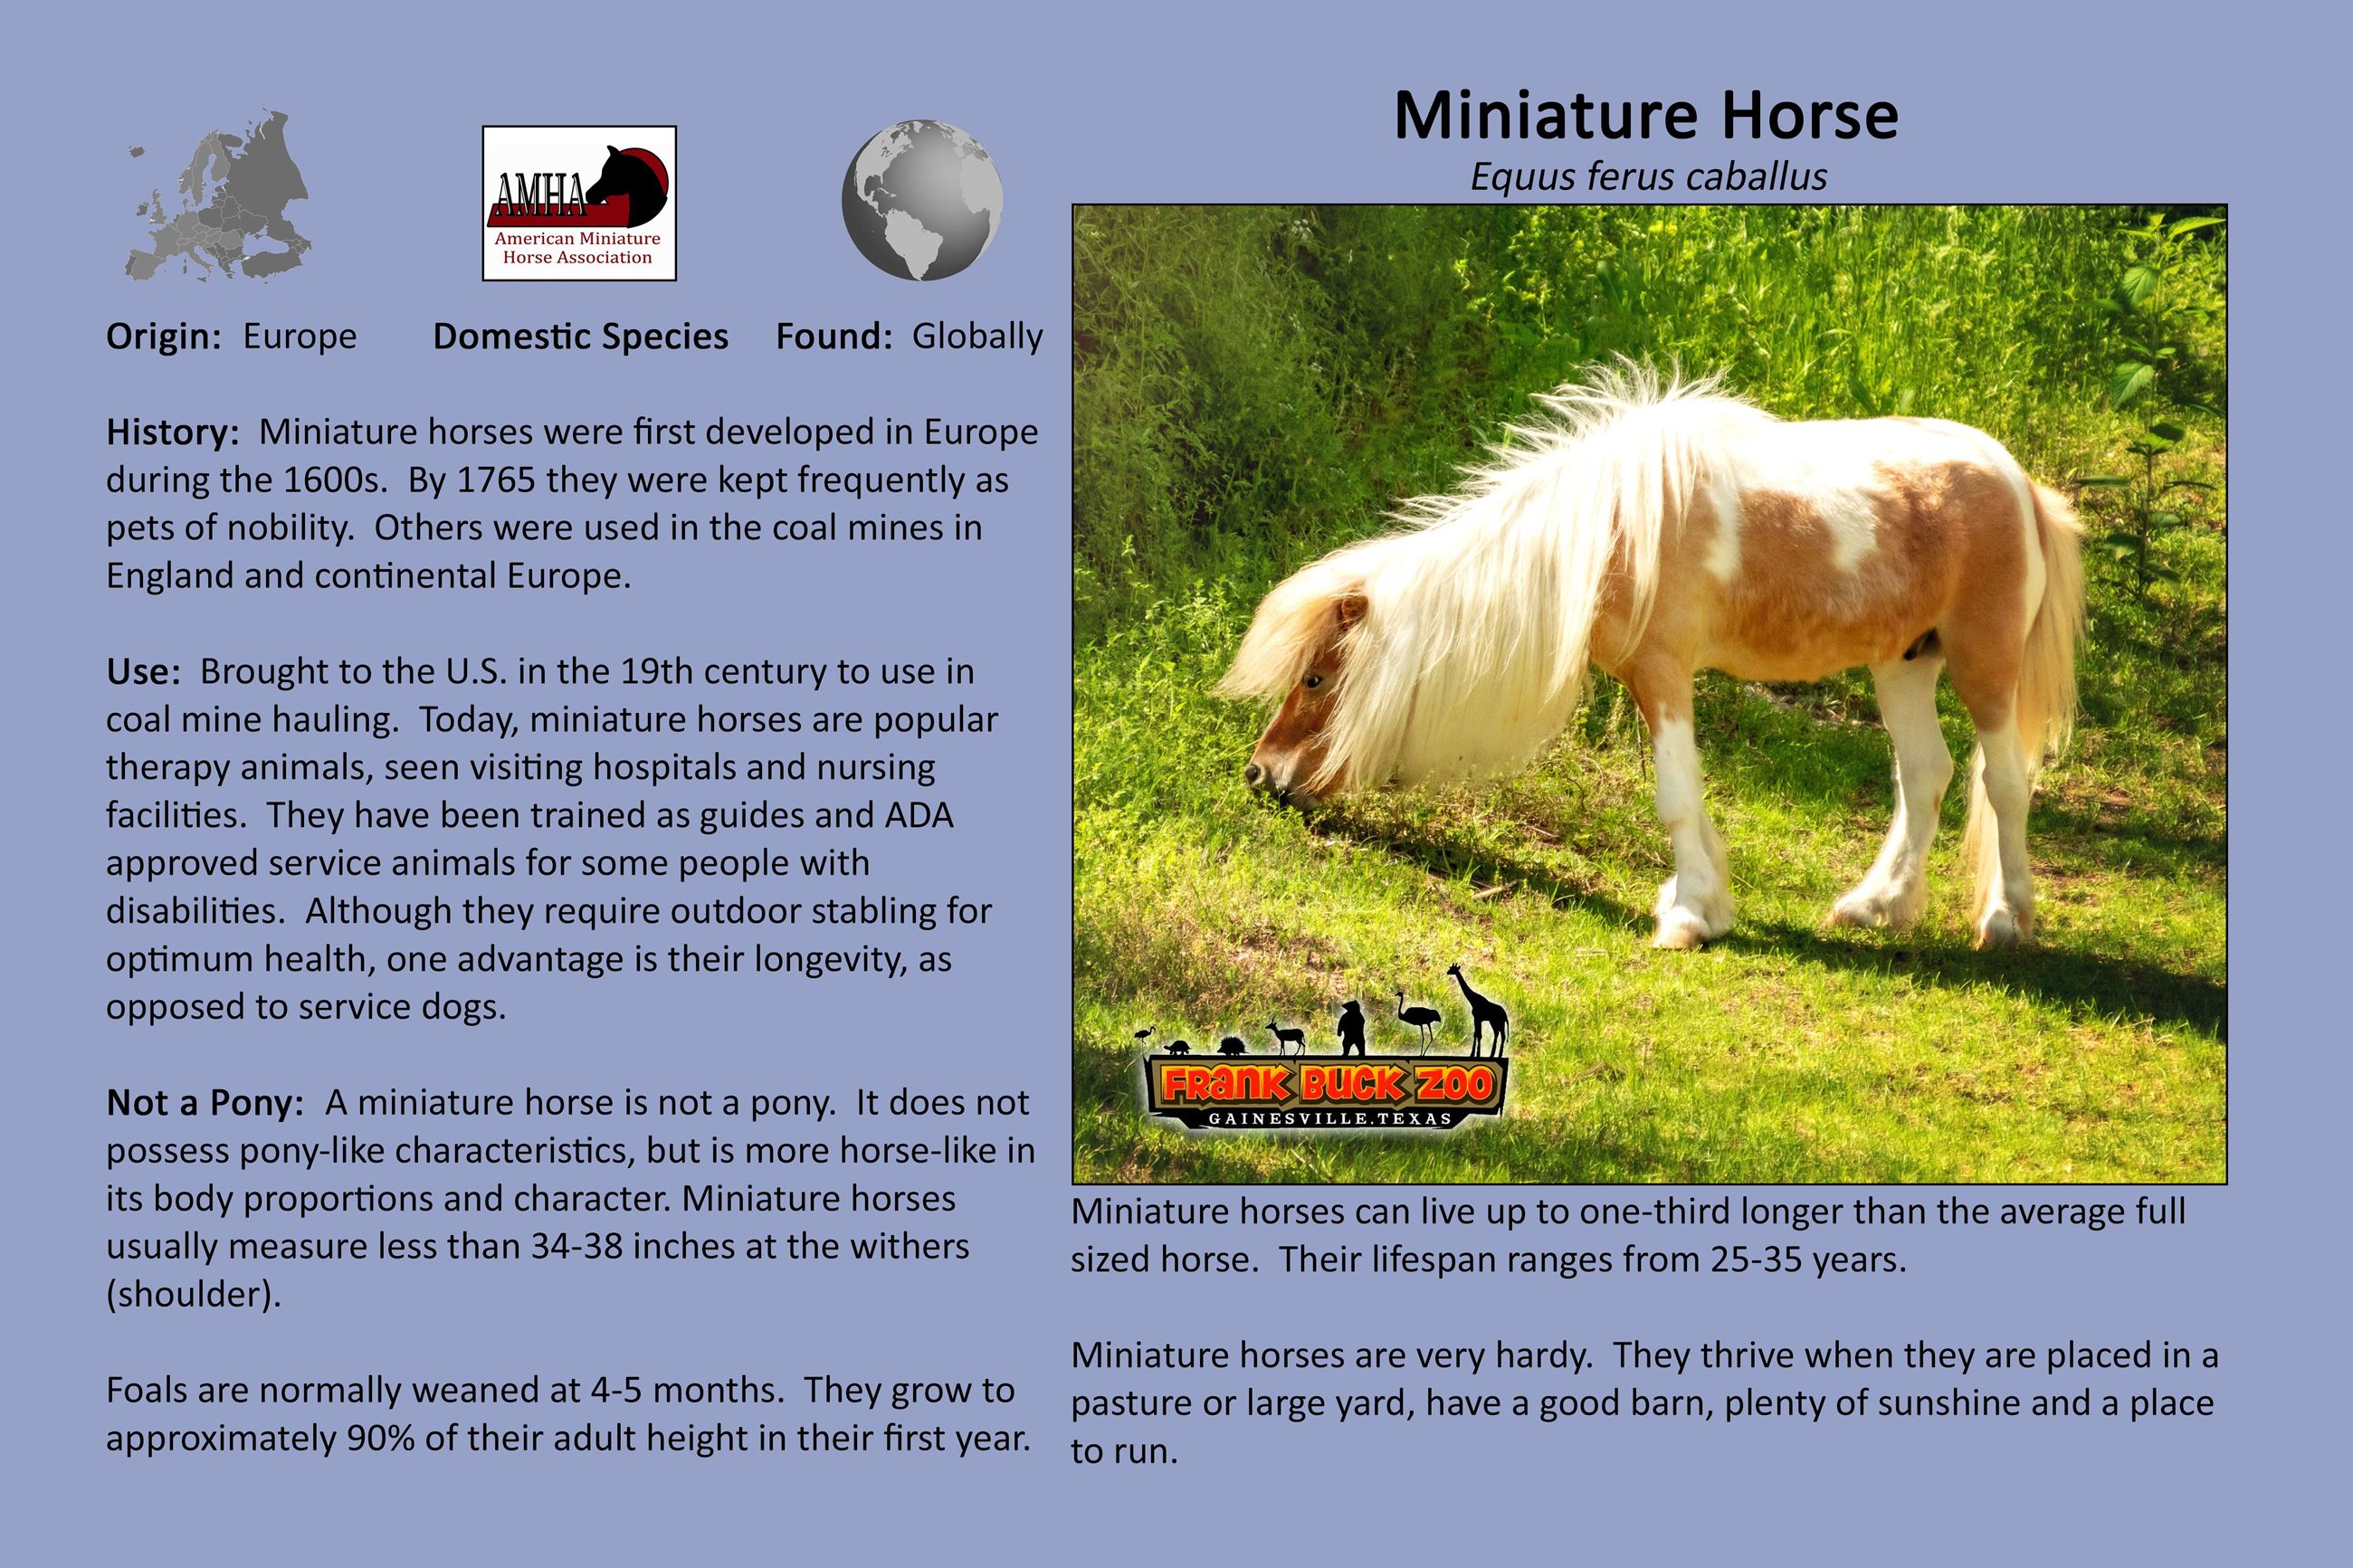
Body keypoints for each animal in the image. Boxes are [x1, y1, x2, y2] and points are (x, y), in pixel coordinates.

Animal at [1220, 363, 2084, 951]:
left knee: (2005, 783)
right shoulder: (1657, 683)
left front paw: (1685, 918)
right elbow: (1690, 797)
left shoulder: (1664, 676)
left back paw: (2005, 920)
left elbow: (1674, 797)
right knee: (1925, 774)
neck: (1605, 531)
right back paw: (1876, 906)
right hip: (1902, 663)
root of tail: (2017, 481)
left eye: (1316, 676)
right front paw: (1700, 902)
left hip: (1983, 666)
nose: (1260, 772)